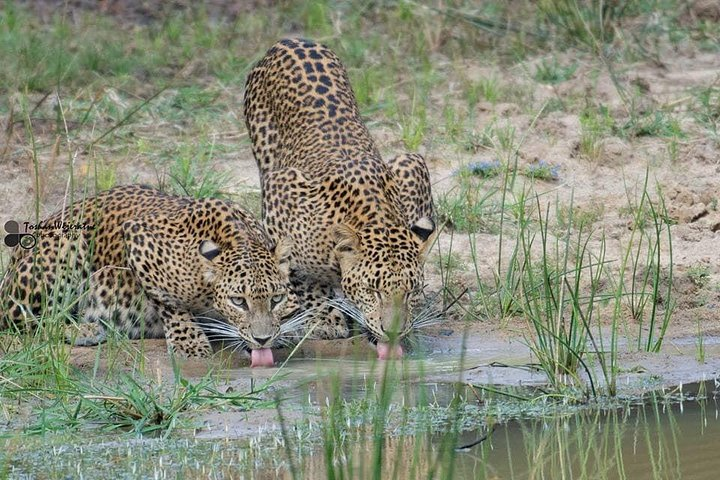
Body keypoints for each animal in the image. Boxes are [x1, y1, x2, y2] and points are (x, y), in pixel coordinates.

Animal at [0, 186, 298, 366]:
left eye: (276, 299)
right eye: (238, 301)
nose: (263, 339)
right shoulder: (137, 237)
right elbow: (170, 304)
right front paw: (190, 344)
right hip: (63, 251)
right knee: (20, 319)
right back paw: (83, 329)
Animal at [245, 38, 436, 360]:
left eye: (409, 290)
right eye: (373, 290)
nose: (393, 332)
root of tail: (292, 40)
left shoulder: (411, 165)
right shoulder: (281, 187)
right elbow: (302, 275)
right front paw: (323, 318)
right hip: (266, 152)